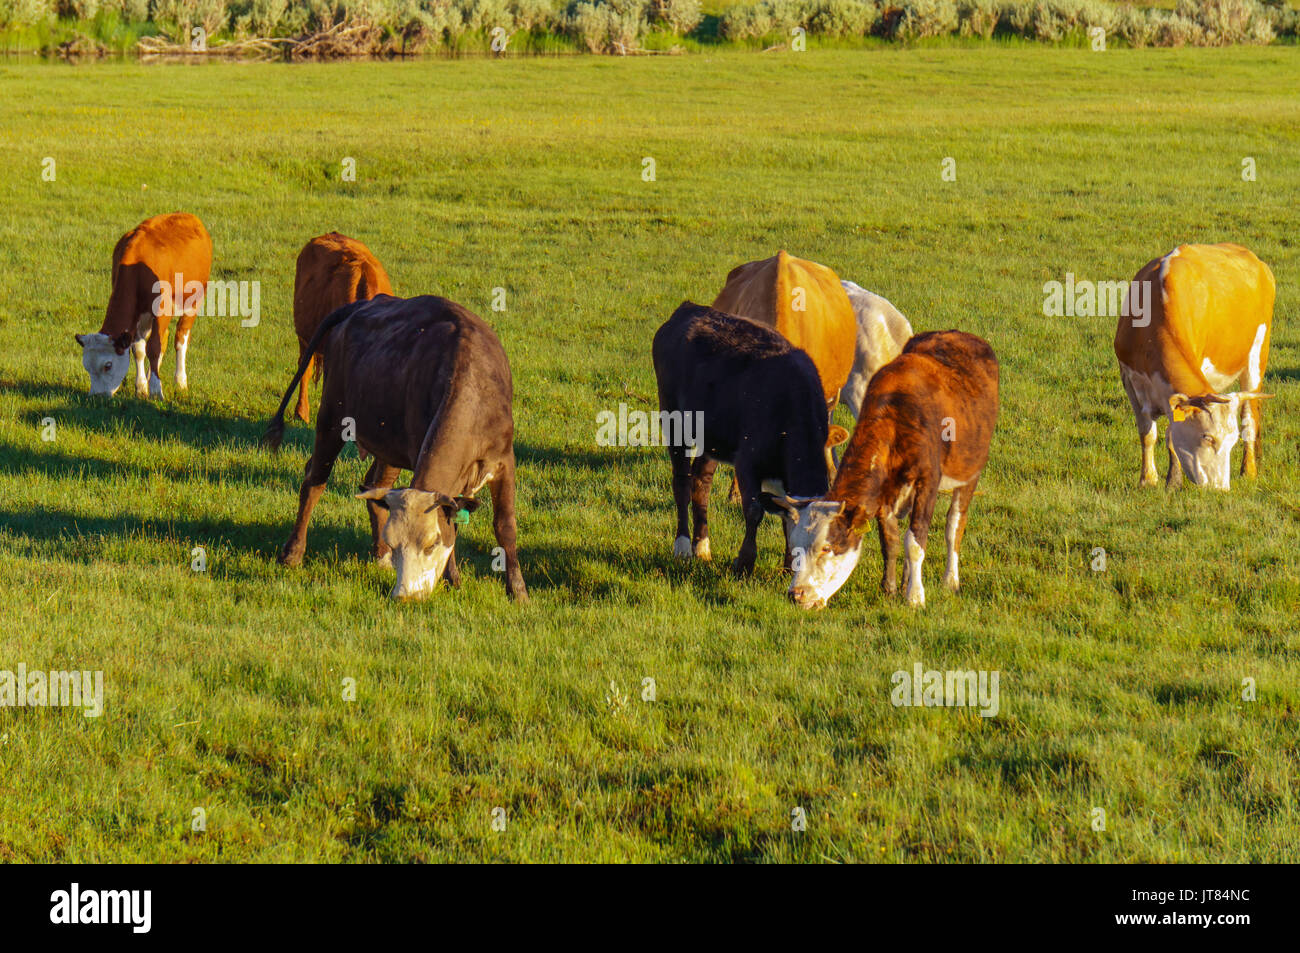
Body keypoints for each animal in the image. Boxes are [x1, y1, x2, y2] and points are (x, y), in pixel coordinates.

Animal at [74, 213, 211, 399]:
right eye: (86, 366)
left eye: (108, 365)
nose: (96, 396)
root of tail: (189, 216)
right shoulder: (137, 317)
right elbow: (139, 350)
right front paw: (141, 387)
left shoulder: (162, 310)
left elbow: (153, 348)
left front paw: (155, 390)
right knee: (163, 338)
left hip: (194, 301)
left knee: (180, 339)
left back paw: (180, 381)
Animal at [263, 294, 527, 603]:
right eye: (396, 543)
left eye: (432, 543)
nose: (405, 595)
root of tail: (361, 305)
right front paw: (453, 579)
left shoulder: (504, 461)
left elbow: (504, 525)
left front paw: (517, 590)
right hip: (331, 418)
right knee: (314, 481)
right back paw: (293, 552)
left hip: (386, 445)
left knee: (373, 485)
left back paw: (379, 556)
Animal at [652, 302, 849, 576]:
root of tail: (689, 307)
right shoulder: (747, 462)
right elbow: (754, 511)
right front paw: (744, 562)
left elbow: (784, 514)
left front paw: (786, 565)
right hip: (673, 420)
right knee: (681, 480)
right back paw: (682, 547)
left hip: (712, 438)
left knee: (701, 481)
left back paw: (701, 546)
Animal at [771, 331, 999, 609]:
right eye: (794, 545)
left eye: (826, 547)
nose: (797, 594)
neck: (898, 415)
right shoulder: (884, 492)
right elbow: (890, 541)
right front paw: (890, 589)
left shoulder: (928, 480)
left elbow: (915, 539)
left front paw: (915, 596)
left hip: (970, 471)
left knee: (954, 523)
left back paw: (950, 580)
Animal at [1114, 243, 1275, 491]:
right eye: (1207, 437)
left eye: (1232, 440)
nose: (1220, 488)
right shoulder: (1129, 377)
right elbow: (1147, 432)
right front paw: (1147, 480)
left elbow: (1171, 435)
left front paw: (1173, 481)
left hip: (1257, 356)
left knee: (1249, 417)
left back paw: (1248, 471)